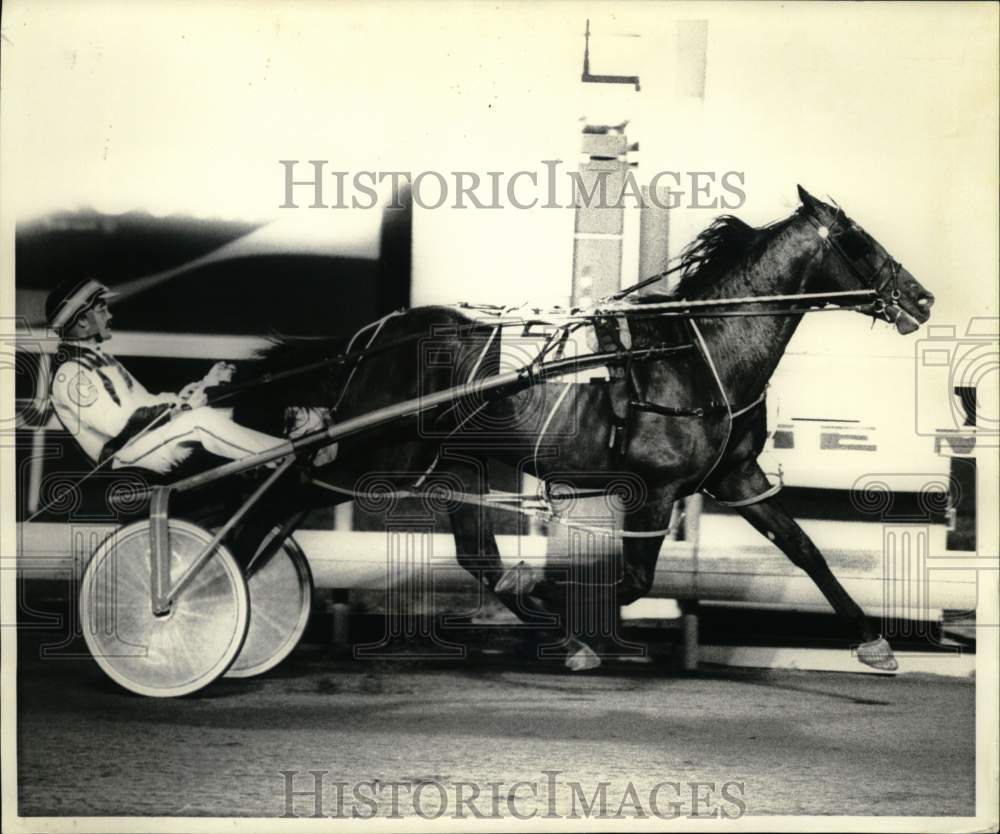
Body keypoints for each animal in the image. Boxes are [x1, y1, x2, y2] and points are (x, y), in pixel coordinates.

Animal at [228, 185, 934, 673]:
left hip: (455, 461)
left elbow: (803, 547)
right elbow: (634, 581)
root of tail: (370, 338)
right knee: (290, 489)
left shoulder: (736, 477)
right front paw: (559, 603)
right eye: (859, 239)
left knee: (475, 555)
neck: (696, 350)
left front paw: (874, 642)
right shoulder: (653, 487)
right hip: (379, 452)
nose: (922, 297)